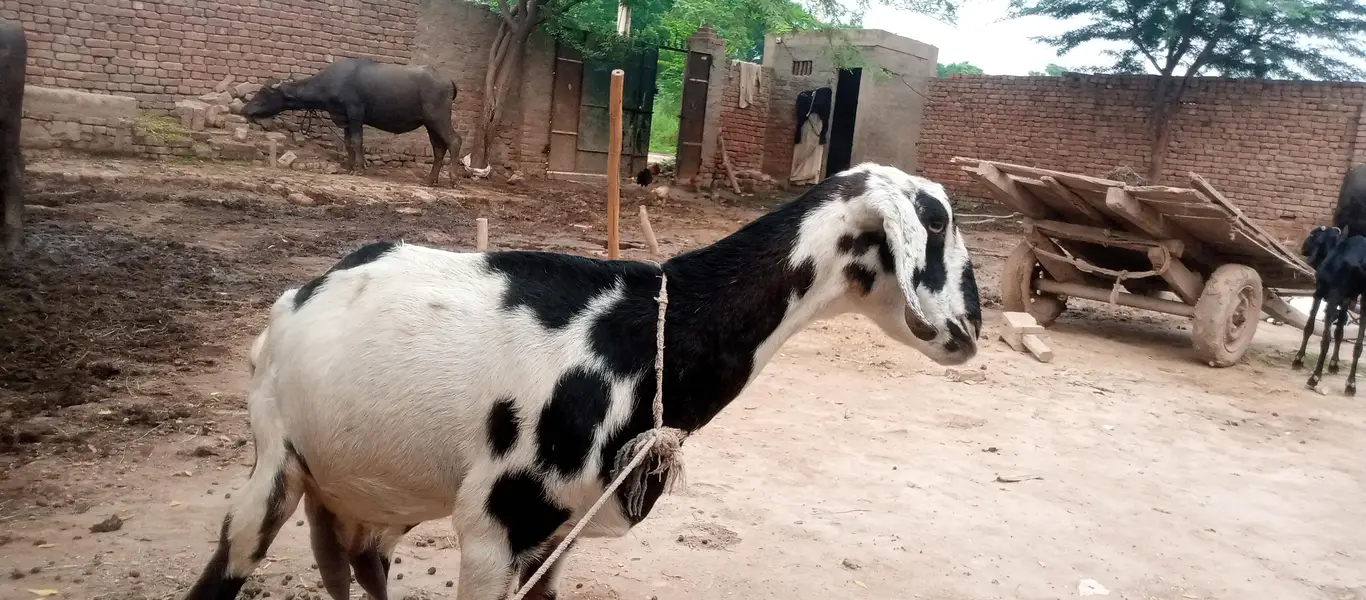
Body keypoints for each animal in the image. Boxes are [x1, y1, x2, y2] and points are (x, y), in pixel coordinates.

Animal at [182, 163, 983, 600]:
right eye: (938, 221)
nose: (971, 331)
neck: (652, 328)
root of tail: (296, 299)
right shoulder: (494, 529)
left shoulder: (553, 538)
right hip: (275, 465)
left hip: (363, 503)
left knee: (363, 569)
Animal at [1293, 164, 1366, 371]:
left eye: (1312, 234)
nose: (1302, 247)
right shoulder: (1344, 299)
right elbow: (1338, 330)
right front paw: (1333, 362)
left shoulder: (1322, 294)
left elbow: (1313, 326)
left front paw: (1301, 358)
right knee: (1357, 341)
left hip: (1334, 298)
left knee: (1326, 337)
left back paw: (1316, 374)